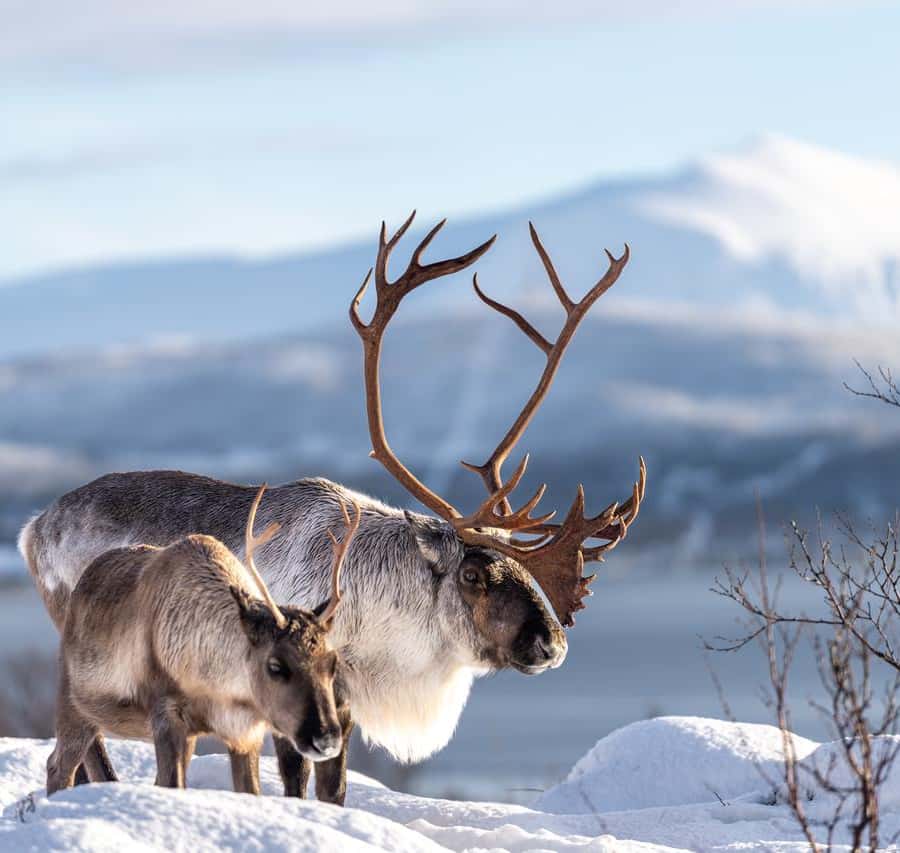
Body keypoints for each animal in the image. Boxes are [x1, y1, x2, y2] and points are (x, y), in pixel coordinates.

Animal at [46, 485, 360, 798]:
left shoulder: (243, 734)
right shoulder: (167, 716)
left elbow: (249, 790)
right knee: (58, 765)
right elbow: (172, 783)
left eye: (332, 664)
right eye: (275, 665)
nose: (325, 738)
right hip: (75, 704)